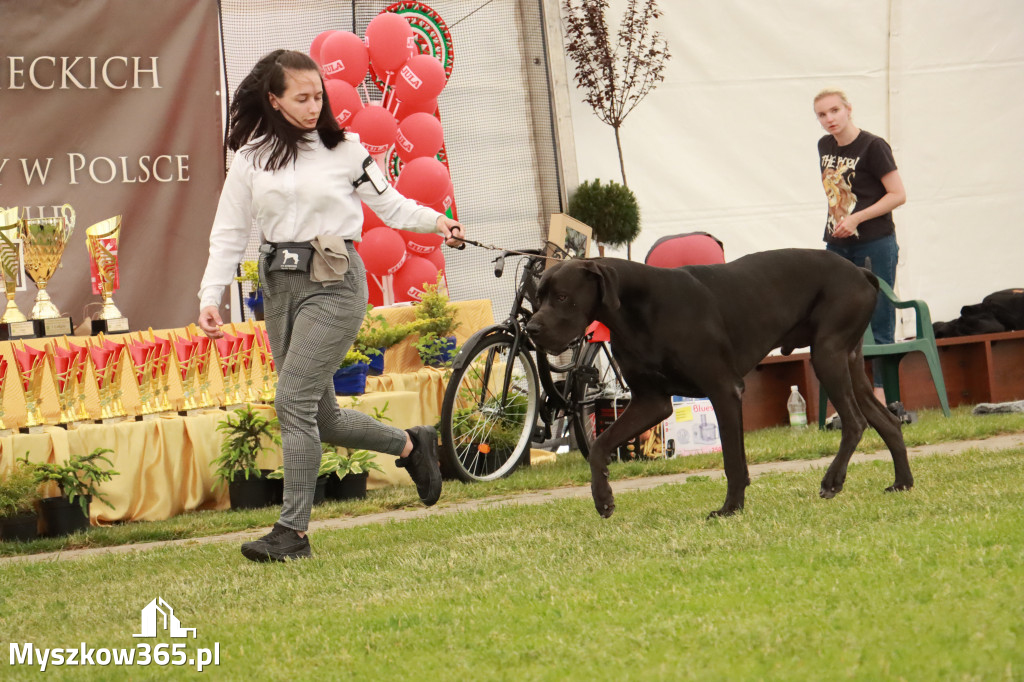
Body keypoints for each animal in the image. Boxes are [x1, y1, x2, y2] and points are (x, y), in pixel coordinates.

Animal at [528, 246, 913, 518]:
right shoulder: (651, 403)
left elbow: (732, 460)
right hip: (848, 362)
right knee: (888, 421)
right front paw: (602, 498)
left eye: (562, 297)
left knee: (856, 422)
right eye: (538, 298)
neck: (637, 308)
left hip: (827, 355)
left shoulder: (724, 390)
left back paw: (833, 481)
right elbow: (599, 447)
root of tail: (861, 271)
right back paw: (902, 483)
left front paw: (731, 508)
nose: (531, 329)